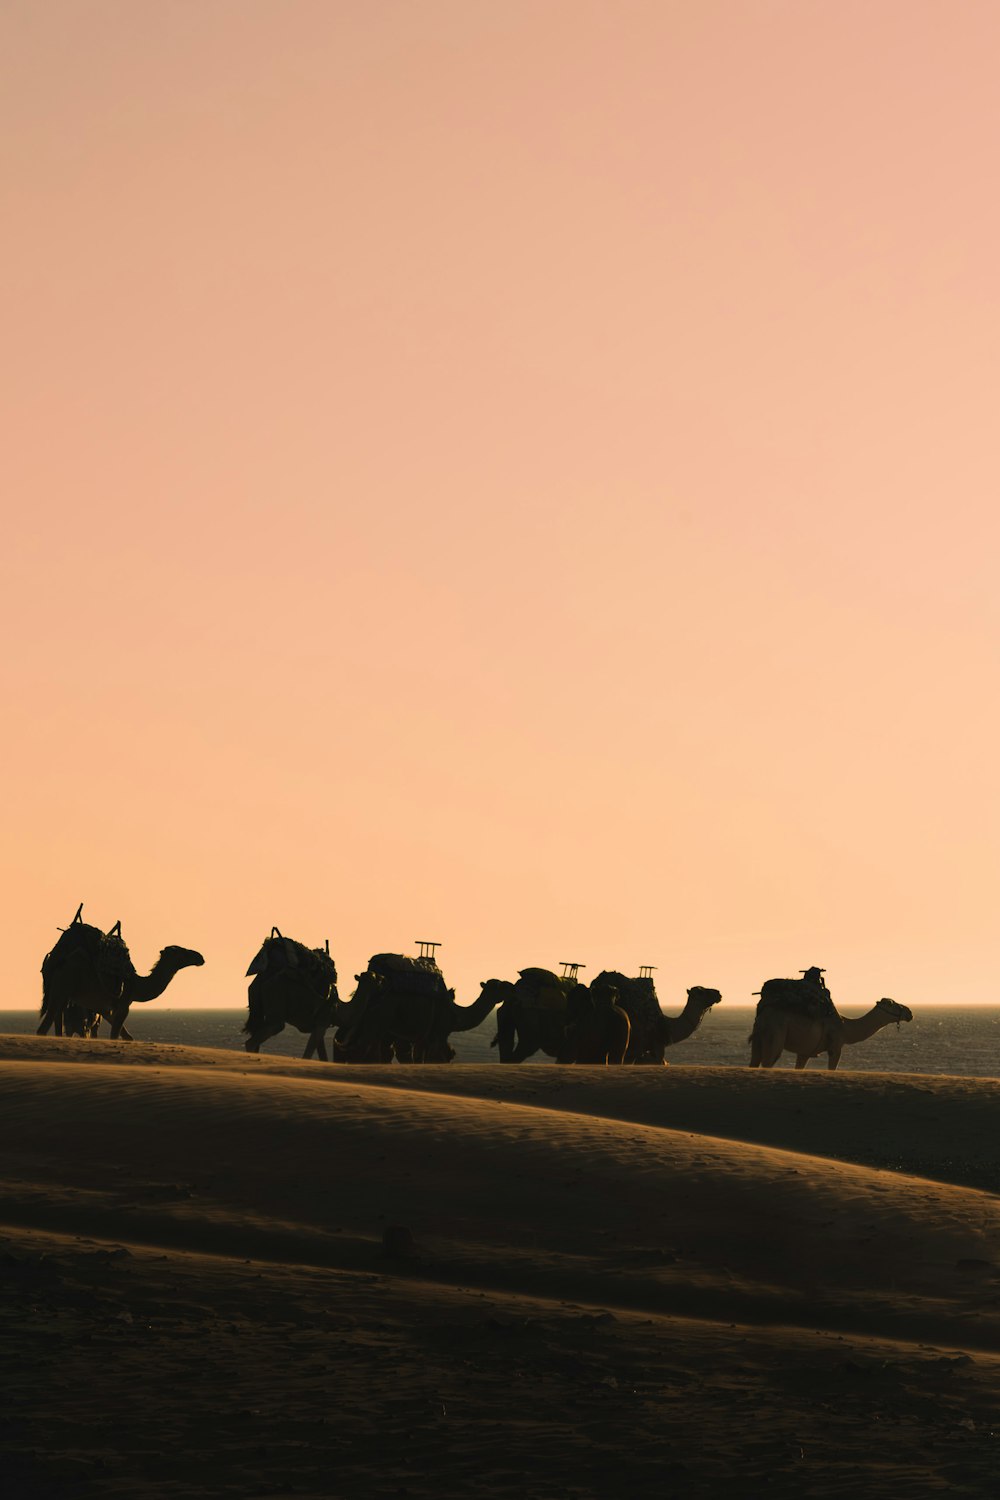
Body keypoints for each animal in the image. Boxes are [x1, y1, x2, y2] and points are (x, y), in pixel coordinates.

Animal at [37, 906, 205, 1038]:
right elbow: (116, 1035)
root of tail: (56, 960)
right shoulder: (123, 1005)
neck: (137, 984)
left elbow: (125, 1035)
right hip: (62, 989)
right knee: (44, 1027)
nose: (200, 957)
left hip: (61, 994)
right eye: (182, 952)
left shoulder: (104, 1008)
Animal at [242, 930, 338, 1062]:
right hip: (275, 1011)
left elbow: (323, 1056)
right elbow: (308, 1054)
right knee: (253, 1041)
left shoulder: (318, 1025)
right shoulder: (322, 1022)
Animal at [335, 954, 500, 1062]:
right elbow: (435, 1056)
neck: (456, 1014)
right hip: (381, 1017)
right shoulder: (439, 1032)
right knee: (366, 1048)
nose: (507, 986)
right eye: (499, 986)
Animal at [746, 990, 911, 1074]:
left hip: (758, 1039)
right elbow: (832, 1068)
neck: (845, 1027)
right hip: (775, 1034)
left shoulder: (805, 1052)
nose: (909, 1012)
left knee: (754, 1062)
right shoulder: (835, 1047)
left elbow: (799, 1067)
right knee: (768, 1061)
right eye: (892, 1004)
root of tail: (762, 1017)